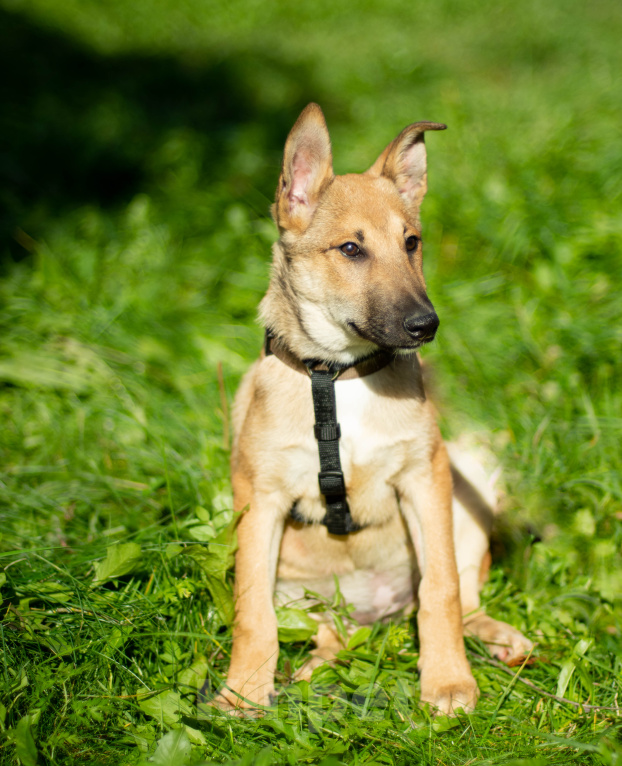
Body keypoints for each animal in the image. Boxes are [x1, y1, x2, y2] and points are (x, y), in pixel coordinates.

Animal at [218, 105, 532, 716]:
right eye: (350, 249)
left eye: (411, 242)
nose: (425, 325)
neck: (340, 377)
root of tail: (374, 614)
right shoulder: (257, 496)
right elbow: (252, 611)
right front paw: (242, 691)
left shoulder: (424, 477)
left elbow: (441, 591)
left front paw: (447, 681)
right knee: (324, 634)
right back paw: (311, 673)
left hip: (470, 480)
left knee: (462, 593)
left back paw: (500, 640)